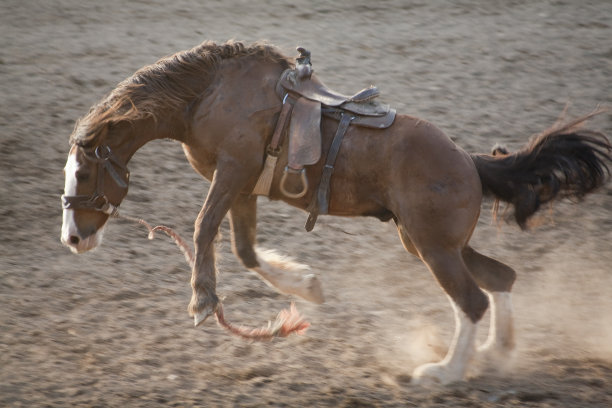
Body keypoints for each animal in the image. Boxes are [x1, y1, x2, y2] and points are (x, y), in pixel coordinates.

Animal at [59, 39, 608, 384]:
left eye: (83, 175)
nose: (72, 239)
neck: (208, 93)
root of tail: (469, 161)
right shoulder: (243, 187)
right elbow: (244, 249)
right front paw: (306, 287)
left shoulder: (232, 173)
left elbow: (203, 228)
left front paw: (201, 302)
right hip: (433, 243)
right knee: (501, 278)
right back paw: (495, 354)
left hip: (433, 247)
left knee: (472, 300)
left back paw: (446, 373)